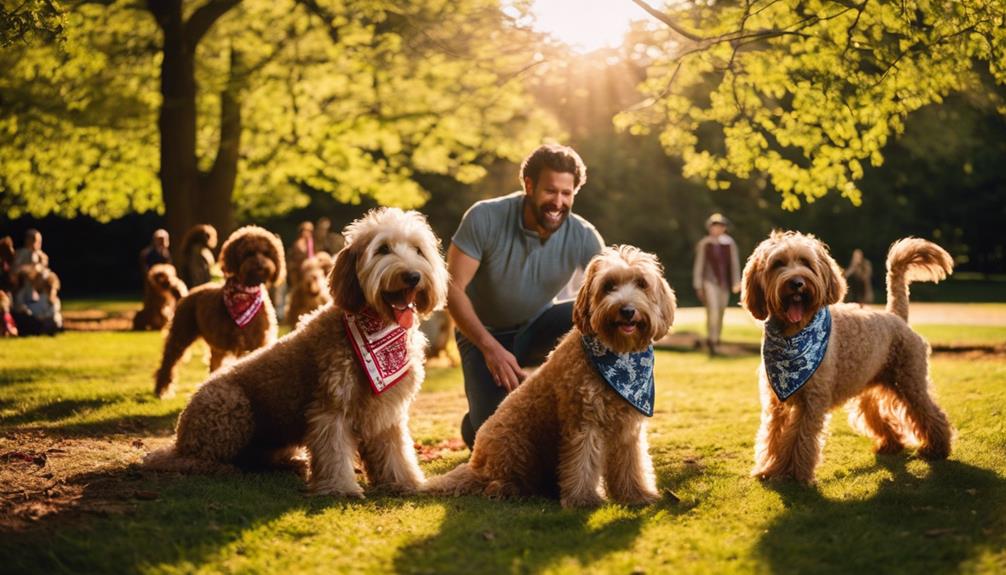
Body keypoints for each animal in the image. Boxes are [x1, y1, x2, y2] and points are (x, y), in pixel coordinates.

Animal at [154, 226, 285, 400]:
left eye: (266, 253)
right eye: (249, 253)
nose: (260, 265)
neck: (245, 293)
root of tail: (189, 293)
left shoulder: (259, 340)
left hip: (216, 347)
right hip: (180, 336)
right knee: (168, 363)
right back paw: (161, 390)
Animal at [424, 245, 676, 504]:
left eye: (642, 283)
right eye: (608, 285)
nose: (627, 310)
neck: (618, 358)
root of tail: (476, 464)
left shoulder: (627, 428)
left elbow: (631, 463)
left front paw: (637, 494)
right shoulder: (584, 420)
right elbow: (583, 462)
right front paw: (583, 499)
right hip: (517, 444)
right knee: (495, 481)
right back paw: (508, 488)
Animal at [744, 231, 953, 482]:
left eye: (805, 262)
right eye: (777, 264)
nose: (797, 283)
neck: (793, 335)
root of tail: (895, 316)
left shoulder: (812, 401)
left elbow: (800, 438)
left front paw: (794, 475)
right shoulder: (777, 402)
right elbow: (773, 434)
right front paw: (769, 469)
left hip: (910, 382)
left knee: (931, 413)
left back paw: (937, 448)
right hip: (871, 389)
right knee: (879, 416)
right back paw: (891, 444)